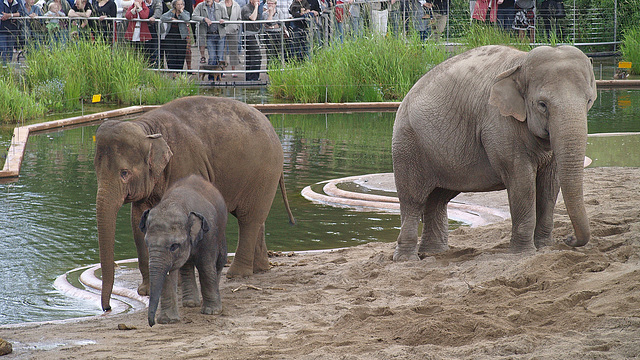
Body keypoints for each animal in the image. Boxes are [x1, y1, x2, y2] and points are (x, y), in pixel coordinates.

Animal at [139, 174, 228, 326]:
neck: (177, 202)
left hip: (221, 230)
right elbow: (169, 273)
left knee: (219, 261)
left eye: (174, 246)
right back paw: (190, 303)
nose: (152, 323)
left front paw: (211, 312)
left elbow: (205, 265)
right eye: (147, 243)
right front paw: (167, 321)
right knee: (186, 266)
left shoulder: (208, 236)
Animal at [392, 45, 596, 260]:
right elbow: (521, 181)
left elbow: (550, 183)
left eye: (589, 100)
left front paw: (545, 247)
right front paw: (523, 253)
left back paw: (434, 253)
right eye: (542, 104)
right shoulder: (500, 123)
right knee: (413, 200)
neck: (521, 62)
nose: (568, 239)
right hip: (408, 146)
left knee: (438, 198)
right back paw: (407, 259)